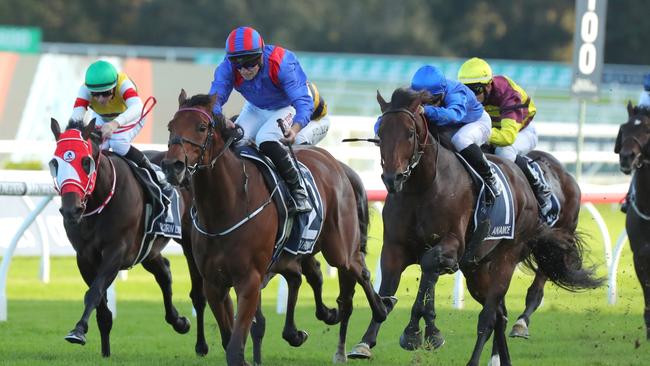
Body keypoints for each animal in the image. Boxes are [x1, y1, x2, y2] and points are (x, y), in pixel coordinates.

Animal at [50, 118, 208, 358]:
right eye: (55, 163)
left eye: (86, 162)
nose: (71, 211)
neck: (100, 201)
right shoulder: (84, 257)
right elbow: (102, 307)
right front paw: (105, 351)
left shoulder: (116, 251)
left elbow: (94, 292)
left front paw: (78, 330)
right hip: (148, 250)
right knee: (164, 272)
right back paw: (179, 322)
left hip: (189, 241)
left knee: (198, 294)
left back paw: (201, 345)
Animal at [160, 91, 388, 366]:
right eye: (171, 126)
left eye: (202, 127)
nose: (173, 166)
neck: (226, 206)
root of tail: (337, 164)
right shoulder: (215, 283)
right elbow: (229, 337)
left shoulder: (250, 280)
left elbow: (235, 347)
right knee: (308, 275)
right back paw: (313, 324)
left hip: (339, 247)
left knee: (358, 270)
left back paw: (380, 310)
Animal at [352, 89, 600, 366]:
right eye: (380, 133)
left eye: (409, 132)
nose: (391, 178)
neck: (423, 187)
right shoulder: (395, 248)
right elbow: (387, 291)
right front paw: (366, 342)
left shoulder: (452, 245)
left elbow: (428, 267)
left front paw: (419, 331)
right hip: (477, 269)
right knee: (499, 314)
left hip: (509, 256)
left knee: (491, 314)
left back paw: (501, 340)